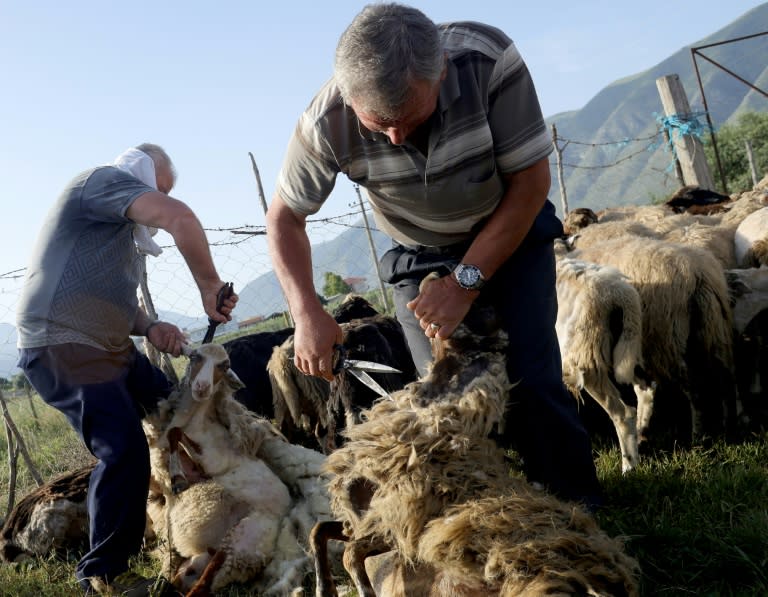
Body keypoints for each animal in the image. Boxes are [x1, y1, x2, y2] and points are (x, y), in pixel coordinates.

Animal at [144, 342, 332, 592]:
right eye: (194, 356)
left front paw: (177, 479)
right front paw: (177, 477)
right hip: (201, 561)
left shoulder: (210, 459)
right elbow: (175, 434)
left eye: (224, 366)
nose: (202, 388)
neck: (199, 423)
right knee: (191, 578)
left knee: (210, 575)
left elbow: (177, 435)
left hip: (241, 540)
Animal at [308, 274, 640, 596]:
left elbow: (348, 551)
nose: (434, 276)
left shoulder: (394, 522)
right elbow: (321, 533)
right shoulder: (373, 522)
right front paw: (325, 586)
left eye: (479, 309)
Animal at [556, 258, 652, 472]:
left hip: (588, 359)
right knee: (645, 390)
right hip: (628, 349)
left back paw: (629, 468)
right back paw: (641, 436)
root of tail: (619, 294)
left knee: (623, 413)